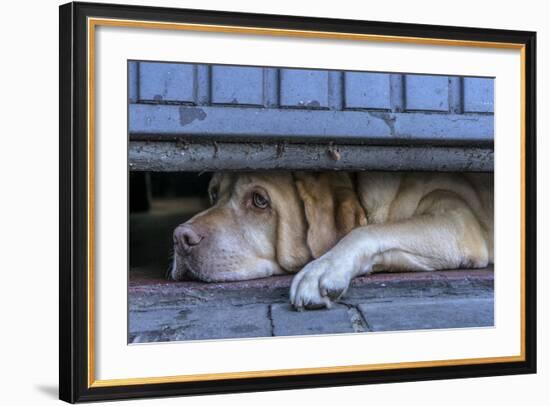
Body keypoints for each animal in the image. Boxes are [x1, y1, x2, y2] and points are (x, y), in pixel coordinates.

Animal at [170, 172, 494, 310]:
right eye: (213, 193)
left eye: (259, 200)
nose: (180, 238)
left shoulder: (457, 221)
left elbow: (368, 231)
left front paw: (322, 269)